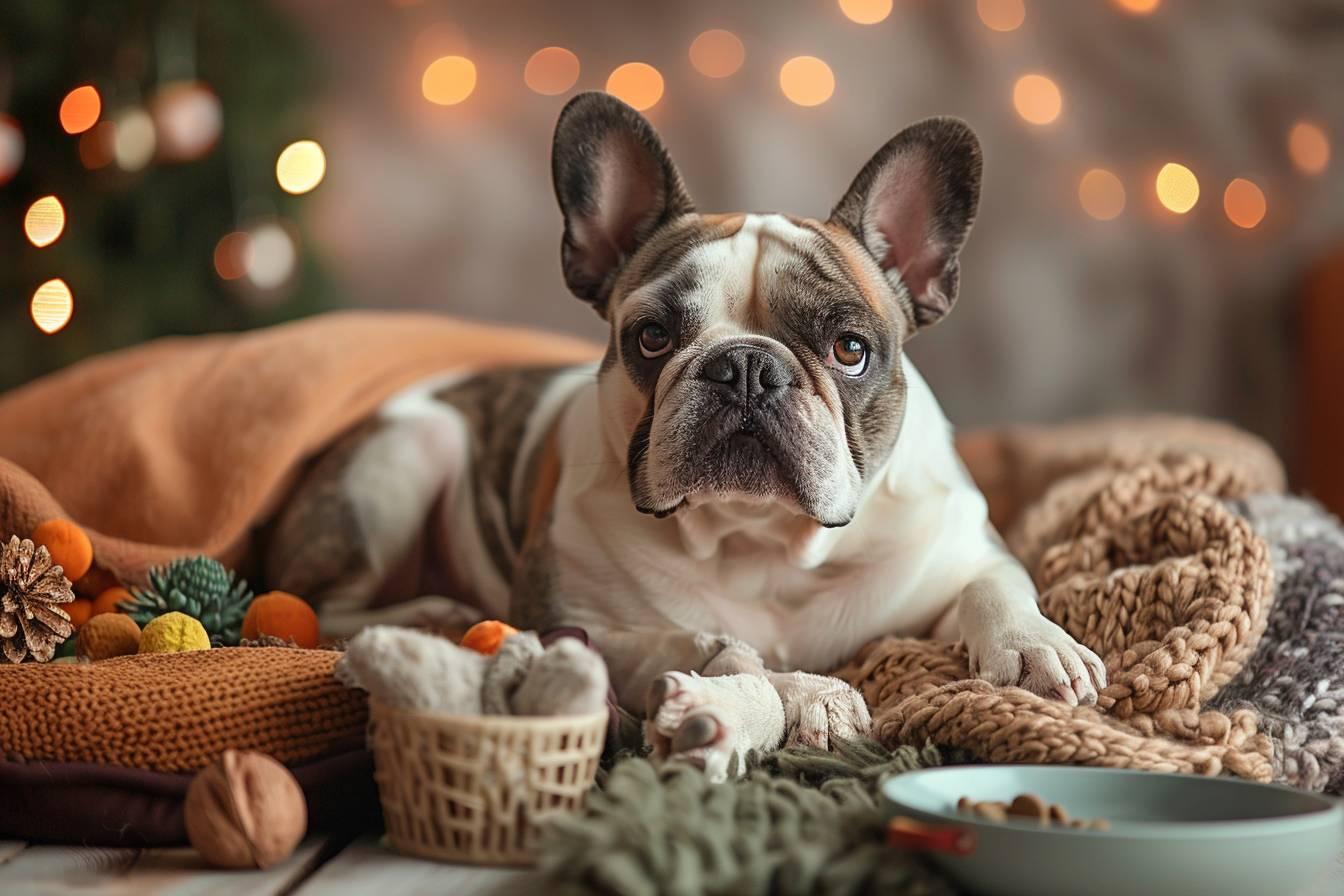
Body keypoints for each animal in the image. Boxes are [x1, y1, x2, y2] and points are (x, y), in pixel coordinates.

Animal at [267, 89, 1107, 779]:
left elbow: (998, 585)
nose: (746, 367)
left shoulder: (964, 546)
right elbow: (734, 655)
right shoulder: (570, 620)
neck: (762, 541)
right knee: (318, 607)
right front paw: (806, 692)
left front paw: (1035, 648)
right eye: (652, 337)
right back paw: (427, 612)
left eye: (849, 349)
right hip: (409, 453)